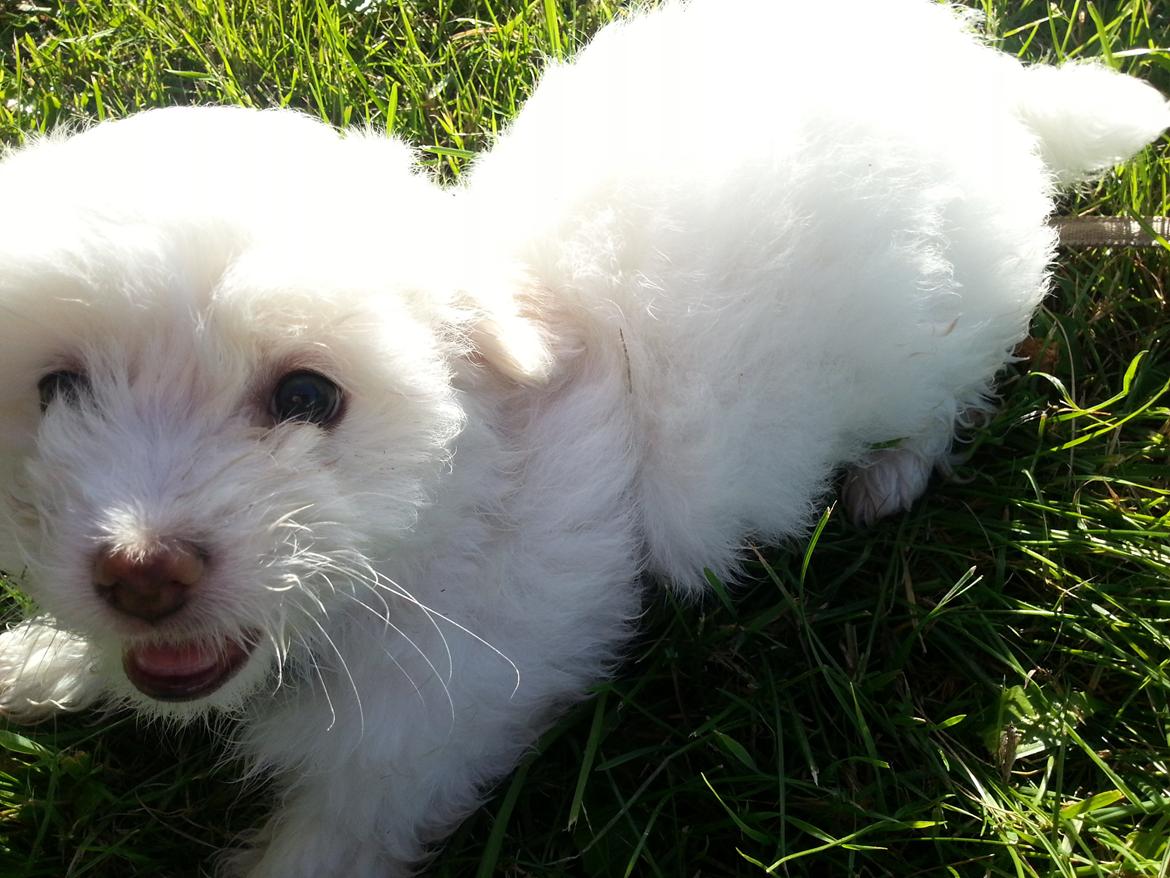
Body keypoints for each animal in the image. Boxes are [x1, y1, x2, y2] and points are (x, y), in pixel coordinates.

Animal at [0, 0, 1165, 875]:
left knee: (951, 390)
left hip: (934, 335)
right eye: (56, 388)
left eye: (307, 395)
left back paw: (892, 472)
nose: (140, 572)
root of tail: (983, 79)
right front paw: (42, 662)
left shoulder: (424, 736)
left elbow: (326, 843)